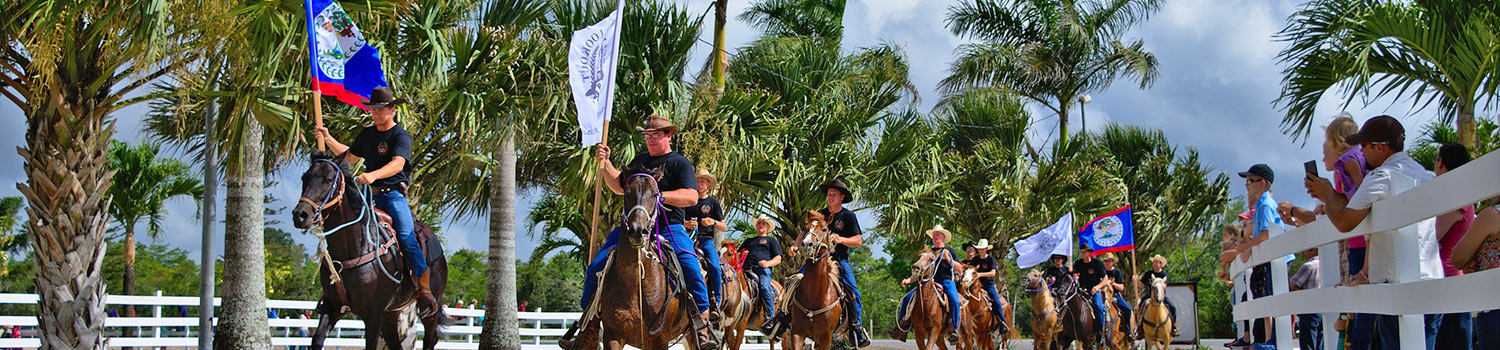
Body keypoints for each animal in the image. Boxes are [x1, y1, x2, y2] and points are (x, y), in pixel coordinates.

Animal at [291, 153, 450, 350]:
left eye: (328, 180)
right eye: (304, 178)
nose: (300, 215)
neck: (354, 248)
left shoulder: (374, 315)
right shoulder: (332, 306)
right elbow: (317, 339)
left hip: (429, 311)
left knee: (430, 339)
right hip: (391, 312)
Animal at [780, 211, 852, 350]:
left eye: (824, 229)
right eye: (805, 228)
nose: (806, 244)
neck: (814, 294)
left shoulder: (826, 336)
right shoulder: (797, 332)